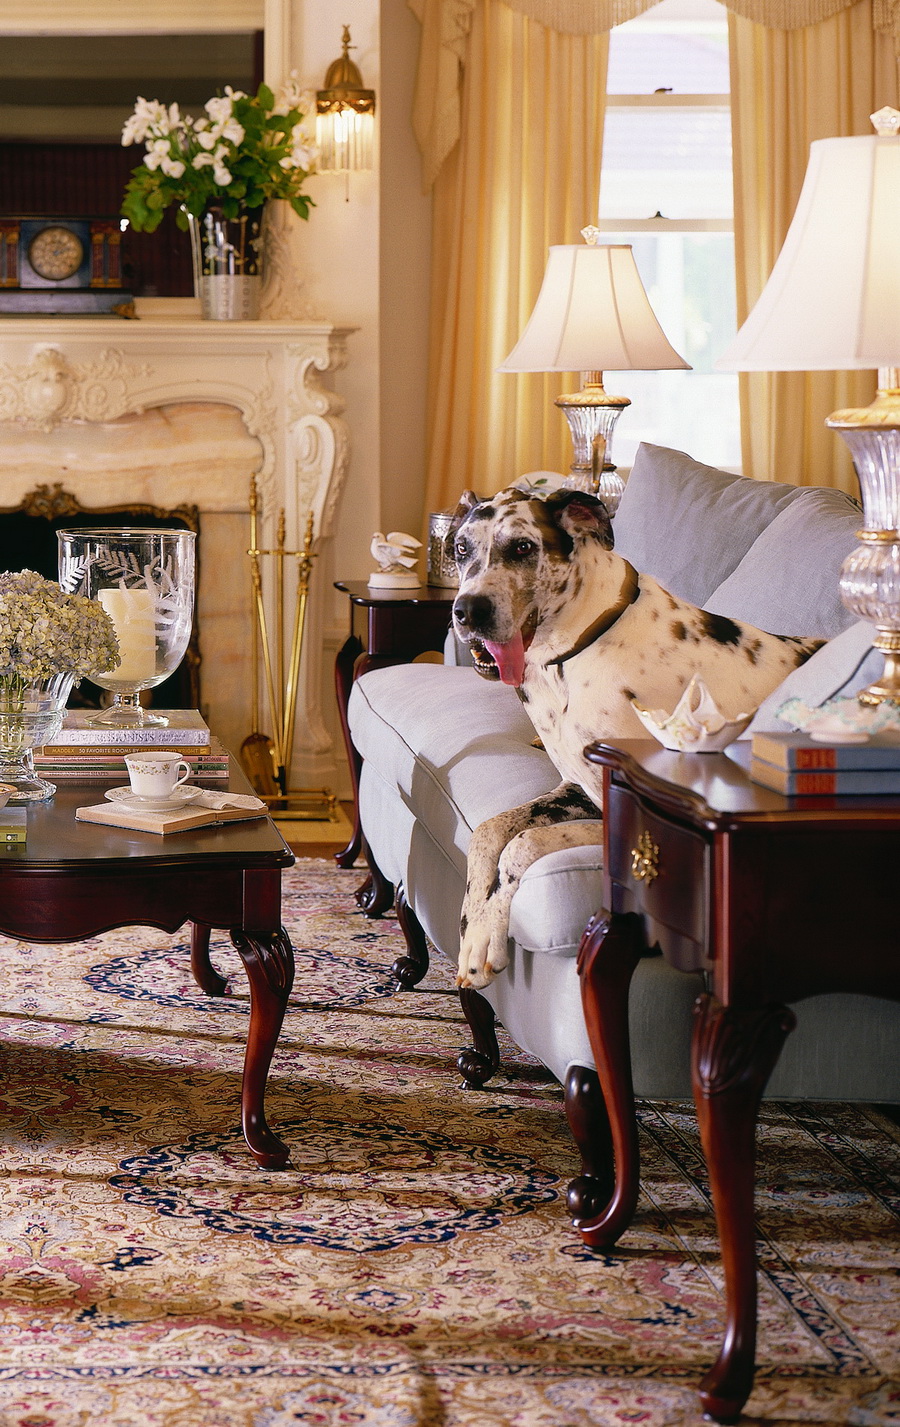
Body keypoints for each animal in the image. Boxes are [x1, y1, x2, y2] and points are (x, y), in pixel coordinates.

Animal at [449, 486, 823, 990]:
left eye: (524, 547)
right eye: (460, 548)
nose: (468, 611)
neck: (579, 647)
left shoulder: (618, 814)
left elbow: (520, 845)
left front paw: (488, 933)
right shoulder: (577, 790)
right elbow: (489, 832)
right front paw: (476, 926)